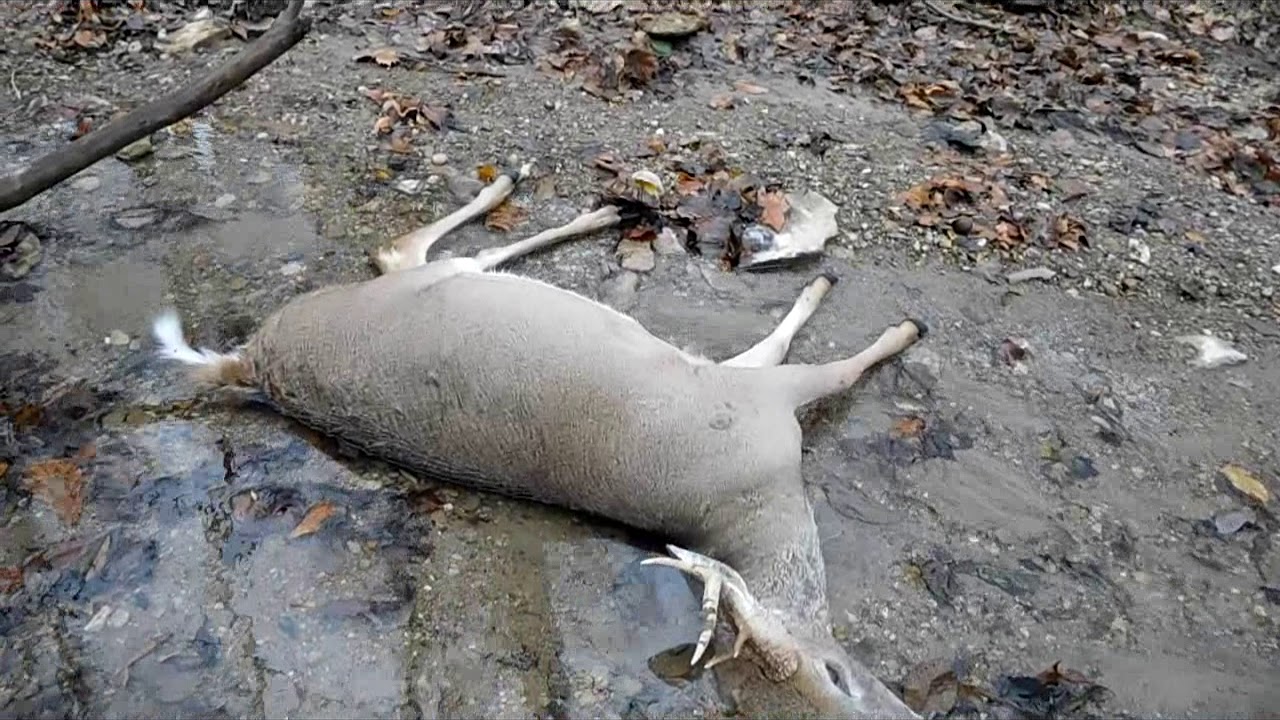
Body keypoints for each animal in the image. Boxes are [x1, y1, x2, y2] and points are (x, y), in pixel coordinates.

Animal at [152, 164, 926, 719]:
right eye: (836, 678)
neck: (755, 504)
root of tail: (253, 359)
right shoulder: (760, 399)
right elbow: (825, 357)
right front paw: (895, 323)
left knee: (395, 250)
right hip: (423, 287)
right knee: (404, 250)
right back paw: (575, 200)